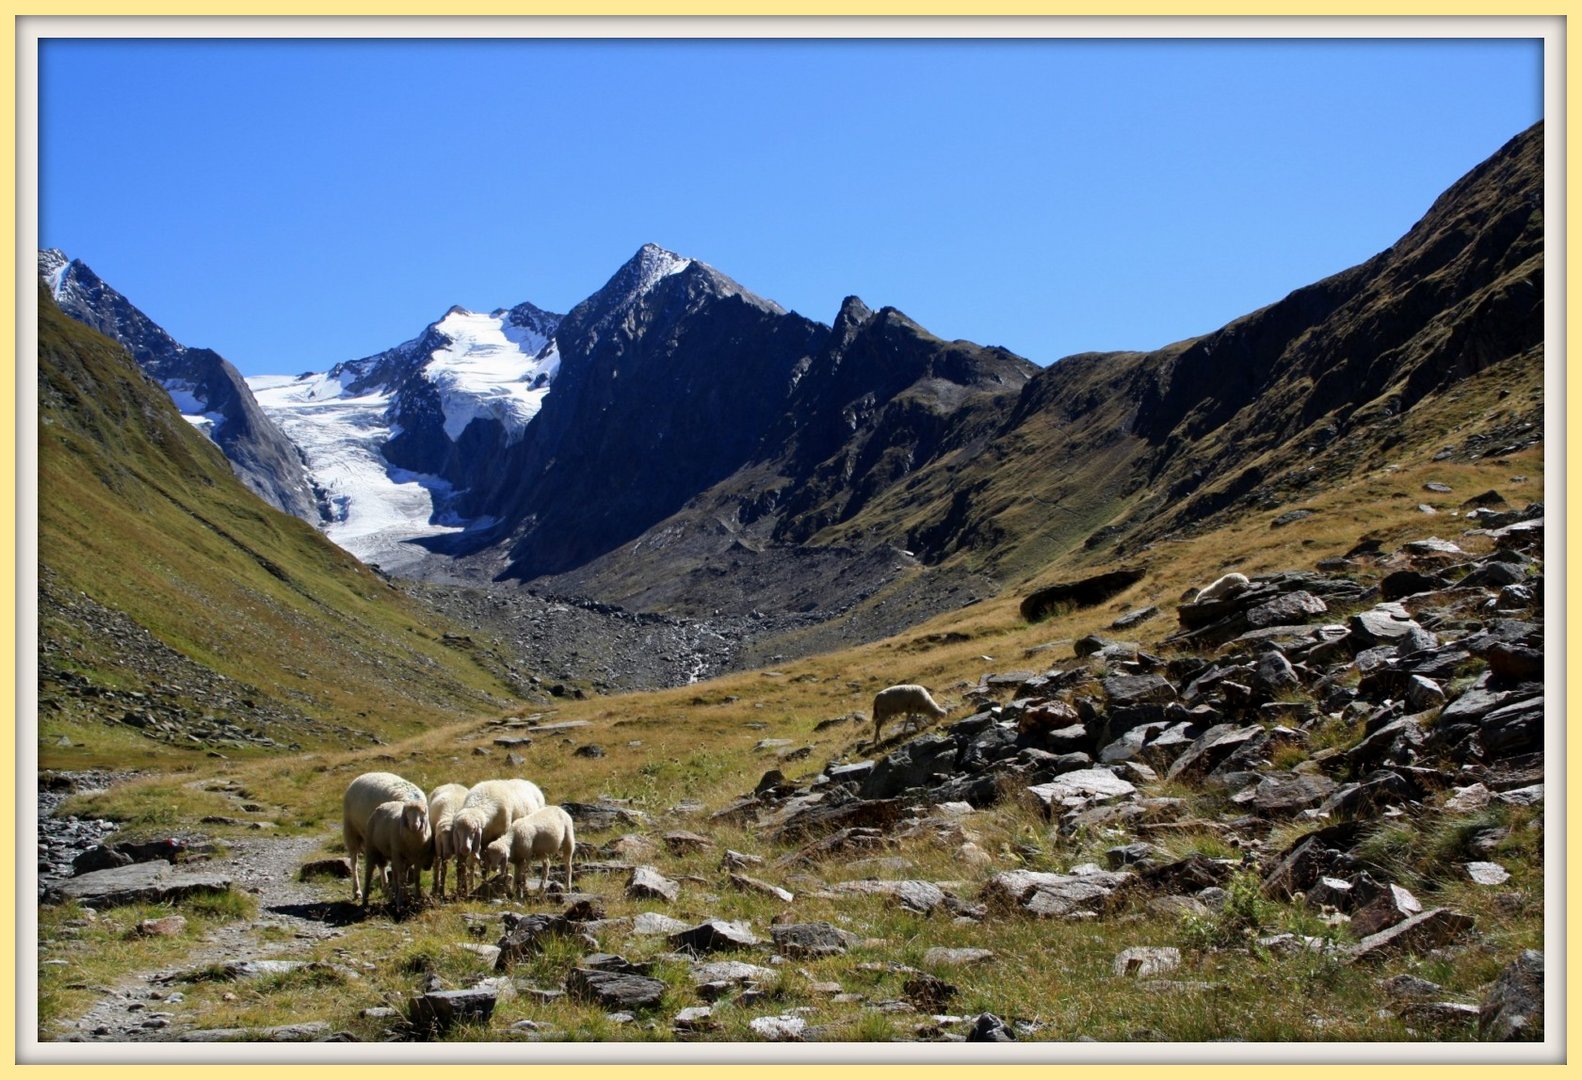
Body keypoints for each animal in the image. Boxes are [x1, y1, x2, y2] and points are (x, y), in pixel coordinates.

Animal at [340, 771, 427, 910]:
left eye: (423, 814)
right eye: (407, 814)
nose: (415, 826)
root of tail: (364, 774)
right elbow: (397, 871)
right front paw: (398, 893)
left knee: (381, 865)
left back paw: (385, 888)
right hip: (352, 831)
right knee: (354, 862)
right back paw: (357, 890)